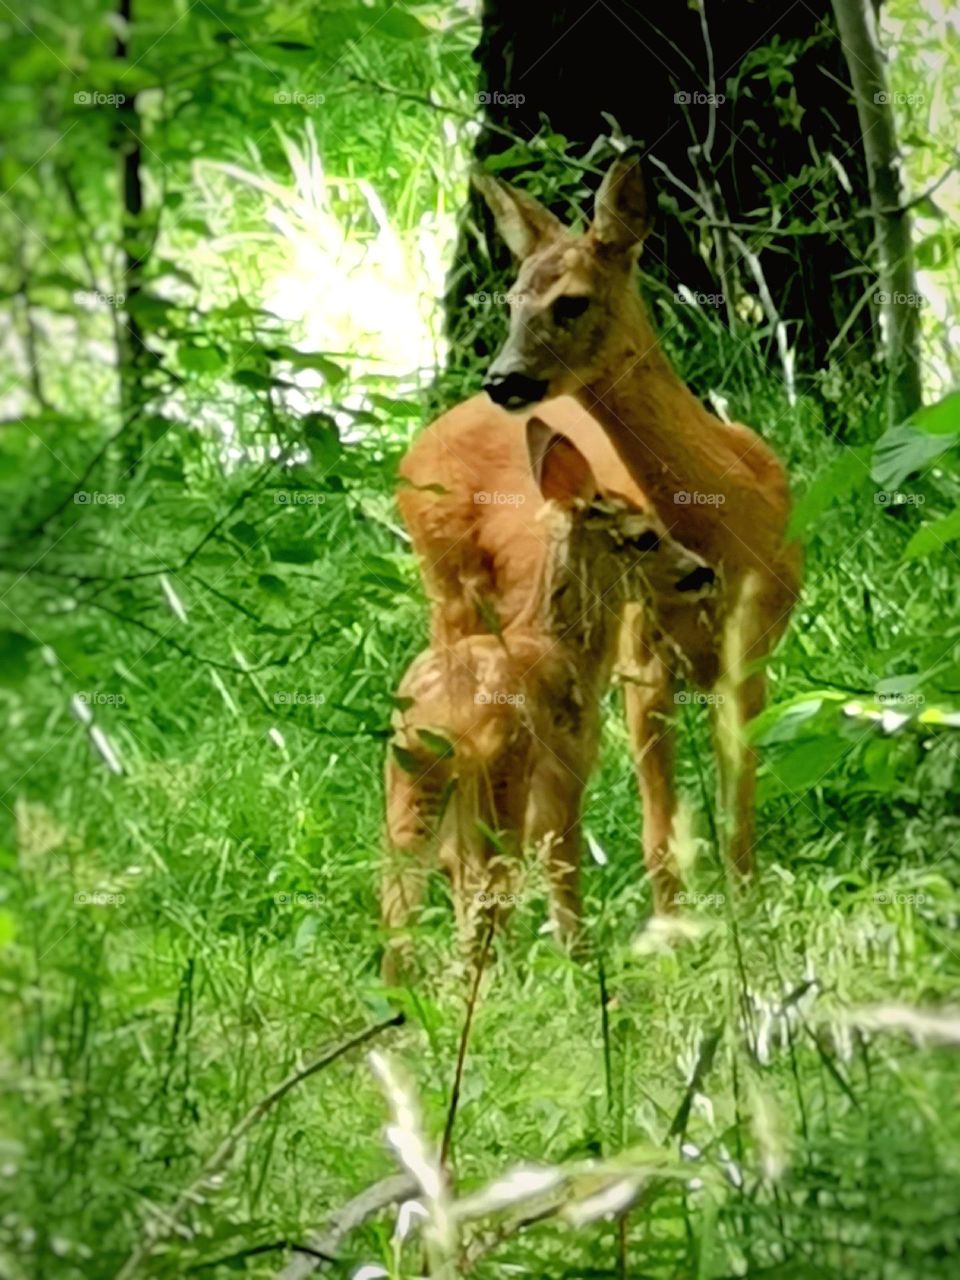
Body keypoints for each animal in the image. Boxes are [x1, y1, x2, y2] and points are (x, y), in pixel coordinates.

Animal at [386, 412, 721, 977]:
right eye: (645, 538)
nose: (702, 571)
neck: (560, 642)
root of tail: (437, 725)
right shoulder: (566, 763)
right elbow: (563, 865)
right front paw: (581, 961)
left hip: (410, 789)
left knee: (400, 904)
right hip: (500, 777)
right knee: (484, 895)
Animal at [476, 154, 803, 906]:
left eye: (570, 301)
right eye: (510, 300)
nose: (502, 380)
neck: (718, 516)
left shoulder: (748, 645)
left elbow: (738, 809)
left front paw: (748, 904)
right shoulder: (640, 659)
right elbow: (660, 835)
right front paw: (673, 923)